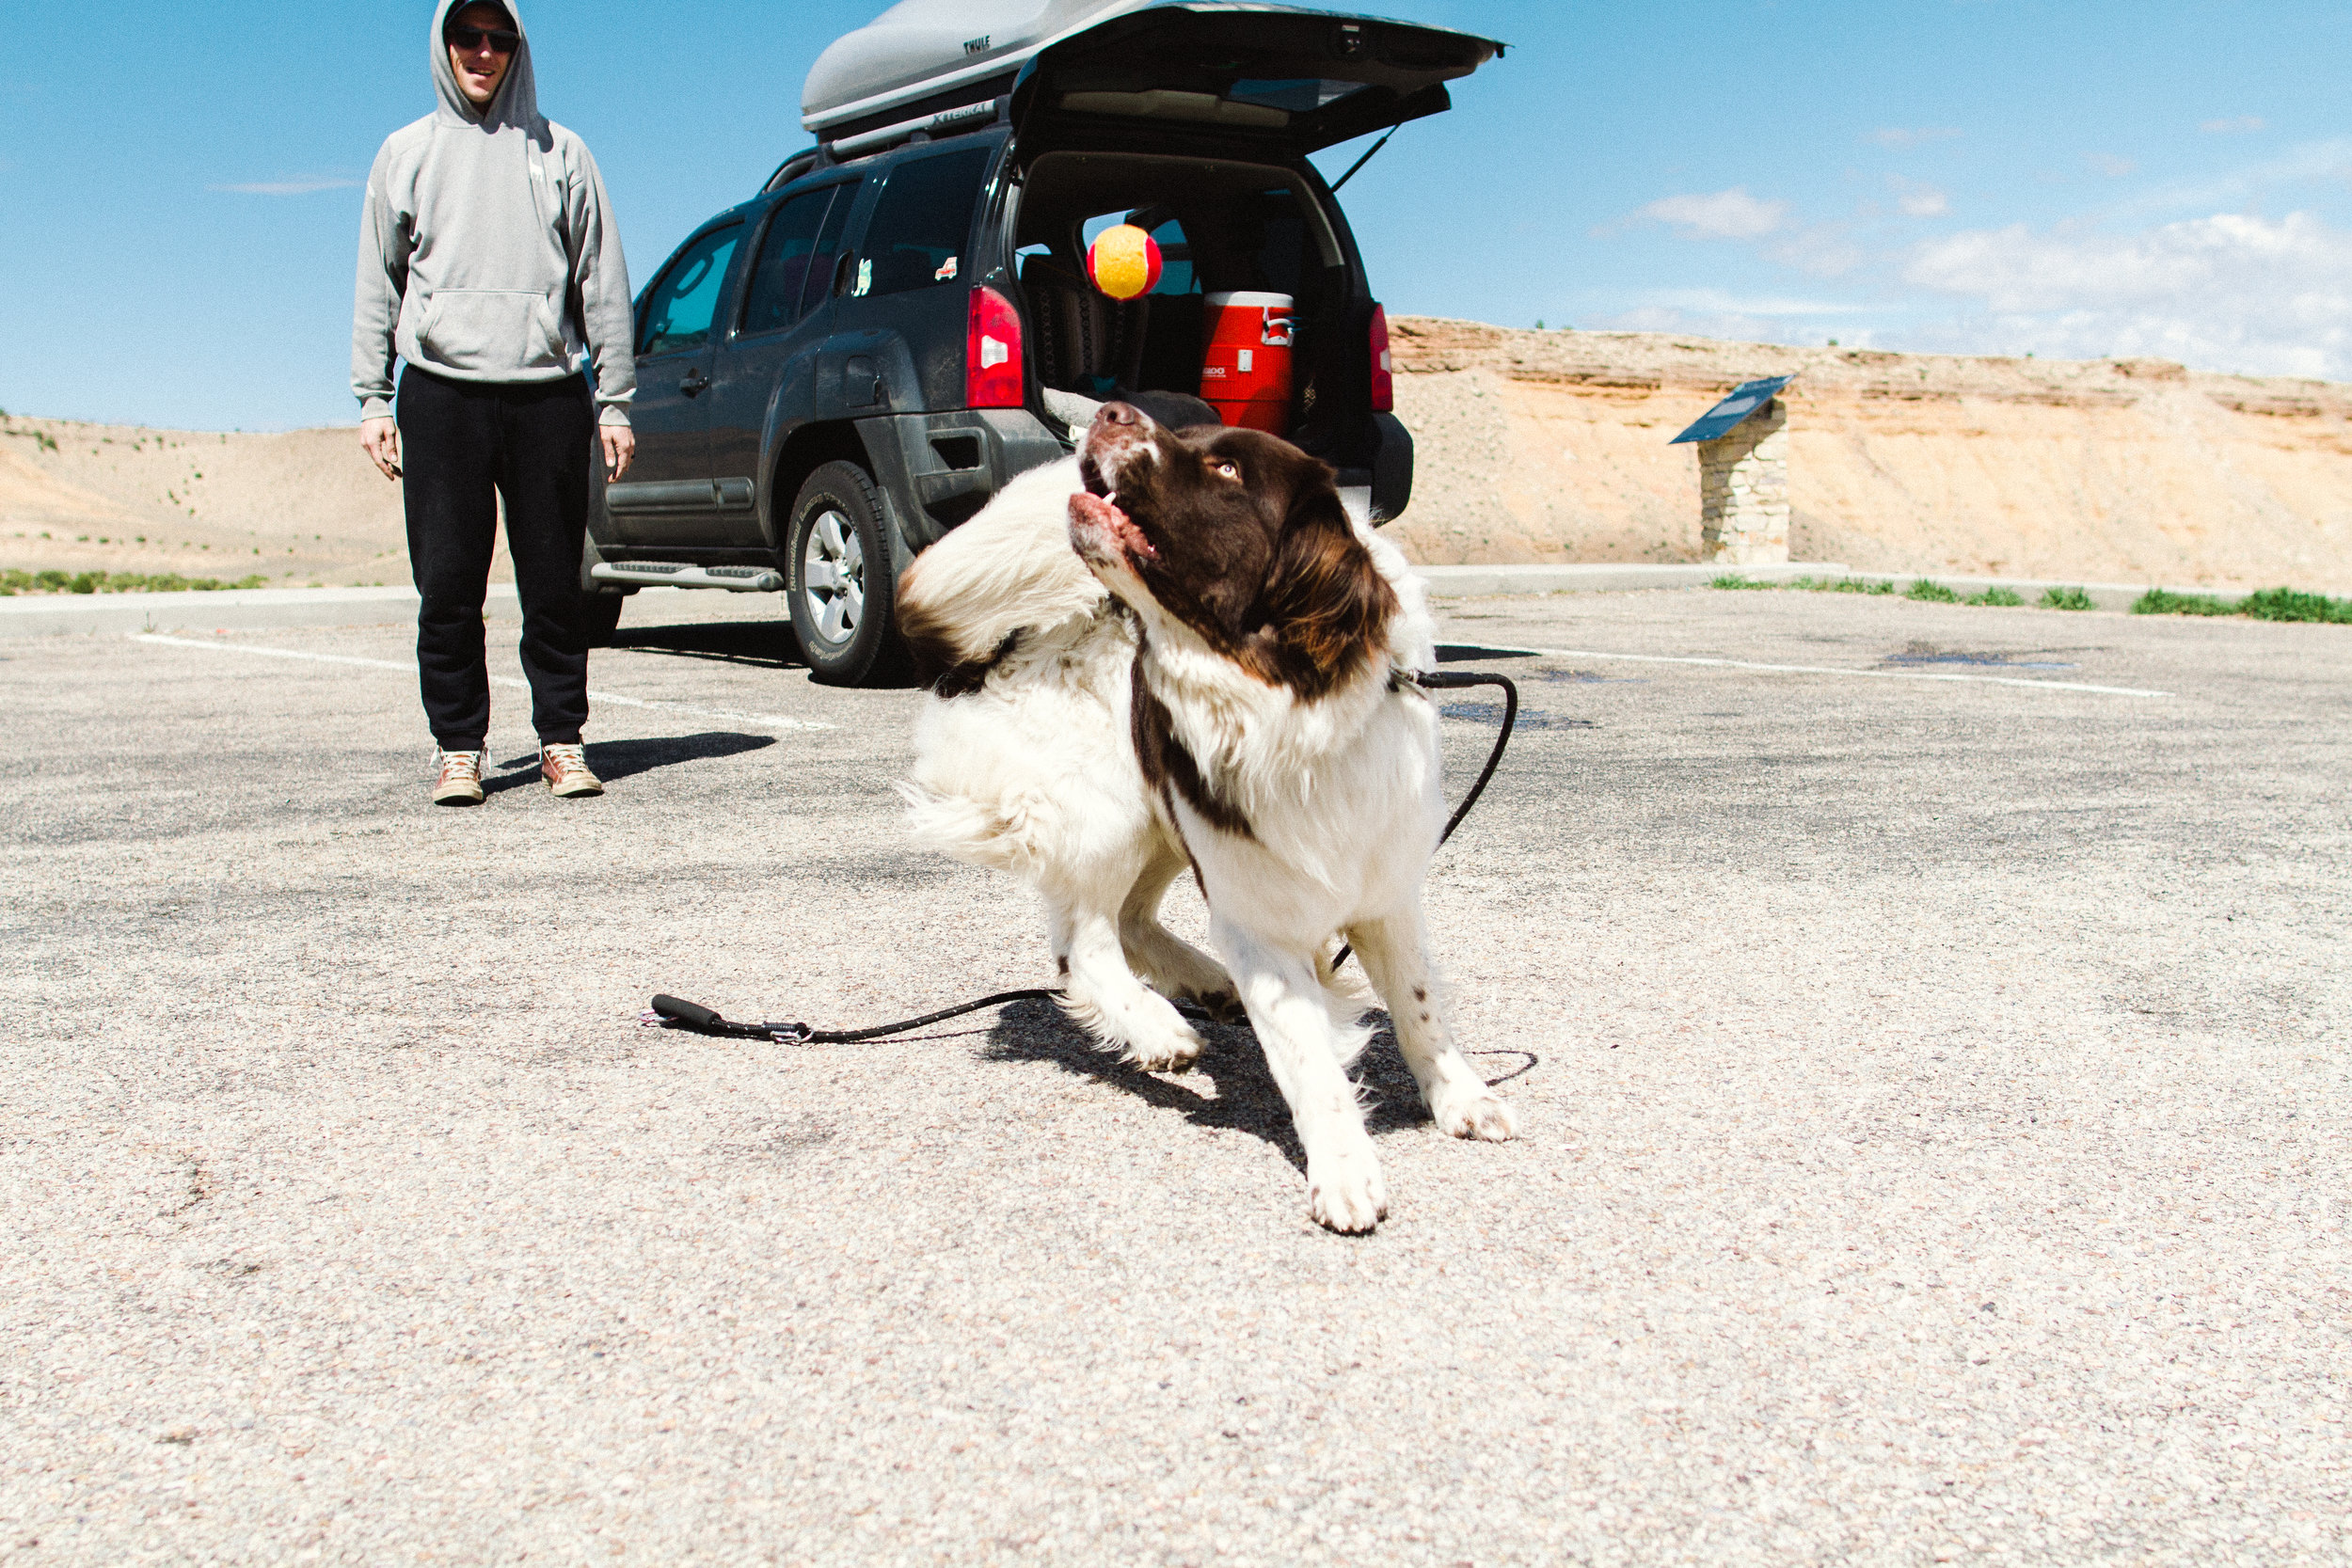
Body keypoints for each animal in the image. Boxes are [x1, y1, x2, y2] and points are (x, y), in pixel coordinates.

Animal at [889, 402, 1515, 1222]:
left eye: (1225, 468)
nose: (1113, 409)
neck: (1283, 699)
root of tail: (1021, 634)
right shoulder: (1259, 922)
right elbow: (1308, 1058)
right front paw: (1345, 1168)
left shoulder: (1387, 890)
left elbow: (1418, 1005)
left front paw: (1457, 1094)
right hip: (1110, 804)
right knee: (1083, 944)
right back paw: (1158, 1024)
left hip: (1162, 818)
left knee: (1130, 918)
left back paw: (1205, 983)